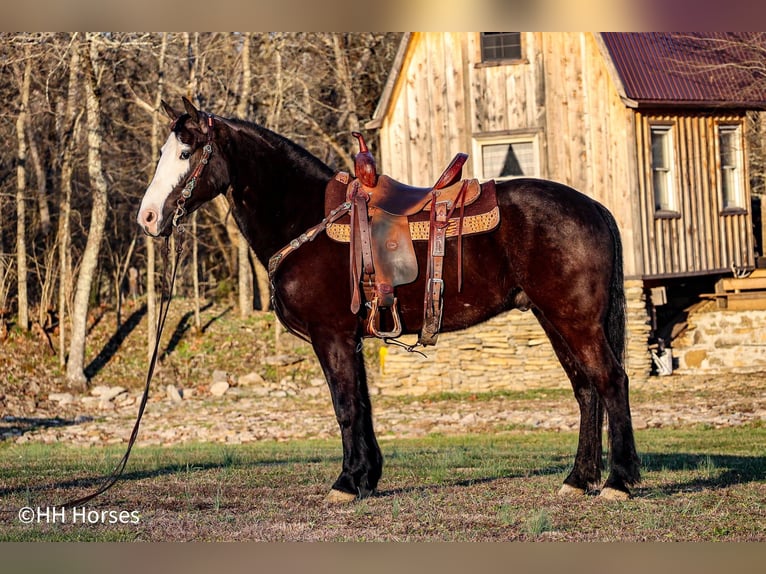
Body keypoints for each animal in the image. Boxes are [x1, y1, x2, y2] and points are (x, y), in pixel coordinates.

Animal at [136, 99, 640, 504]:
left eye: (185, 153)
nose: (148, 218)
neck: (307, 217)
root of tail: (594, 207)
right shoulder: (351, 339)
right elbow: (362, 406)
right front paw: (366, 478)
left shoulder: (332, 336)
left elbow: (345, 406)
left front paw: (346, 483)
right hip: (553, 319)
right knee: (586, 390)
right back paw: (578, 478)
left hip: (575, 320)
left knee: (611, 381)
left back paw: (619, 481)